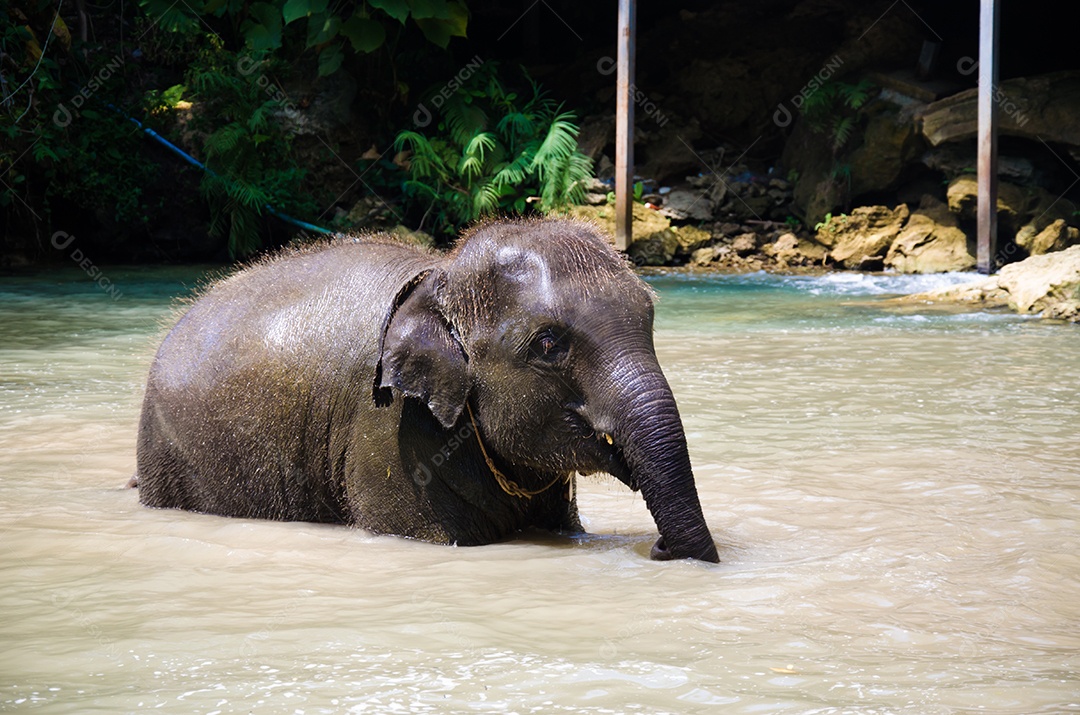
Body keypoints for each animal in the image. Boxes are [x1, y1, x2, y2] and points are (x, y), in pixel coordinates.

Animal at [134, 218, 719, 562]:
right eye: (549, 344)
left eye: (649, 320)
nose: (660, 548)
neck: (443, 273)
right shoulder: (387, 430)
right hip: (172, 457)